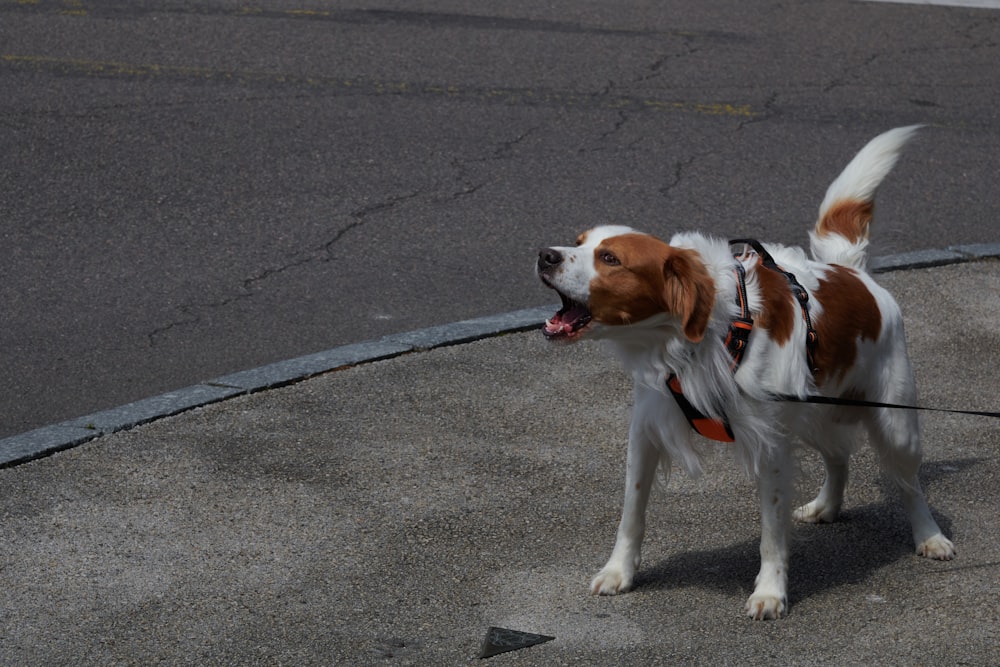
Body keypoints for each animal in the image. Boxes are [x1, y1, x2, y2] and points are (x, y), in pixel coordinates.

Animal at [536, 126, 956, 620]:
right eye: (578, 241)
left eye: (609, 259)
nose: (545, 255)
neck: (698, 338)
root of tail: (851, 272)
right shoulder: (648, 428)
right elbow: (632, 512)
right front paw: (619, 572)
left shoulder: (770, 444)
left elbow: (772, 533)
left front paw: (770, 592)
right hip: (811, 414)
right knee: (839, 457)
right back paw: (826, 506)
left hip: (894, 422)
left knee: (910, 484)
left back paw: (930, 536)